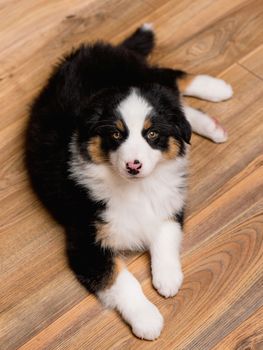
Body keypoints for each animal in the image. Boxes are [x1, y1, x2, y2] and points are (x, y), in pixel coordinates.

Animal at [25, 23, 233, 340]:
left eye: (152, 135)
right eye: (115, 134)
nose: (133, 165)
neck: (136, 188)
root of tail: (94, 48)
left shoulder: (170, 202)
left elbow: (166, 235)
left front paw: (168, 277)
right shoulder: (85, 243)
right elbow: (122, 281)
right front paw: (148, 319)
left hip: (146, 78)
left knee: (171, 82)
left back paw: (217, 91)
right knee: (176, 100)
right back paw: (212, 122)